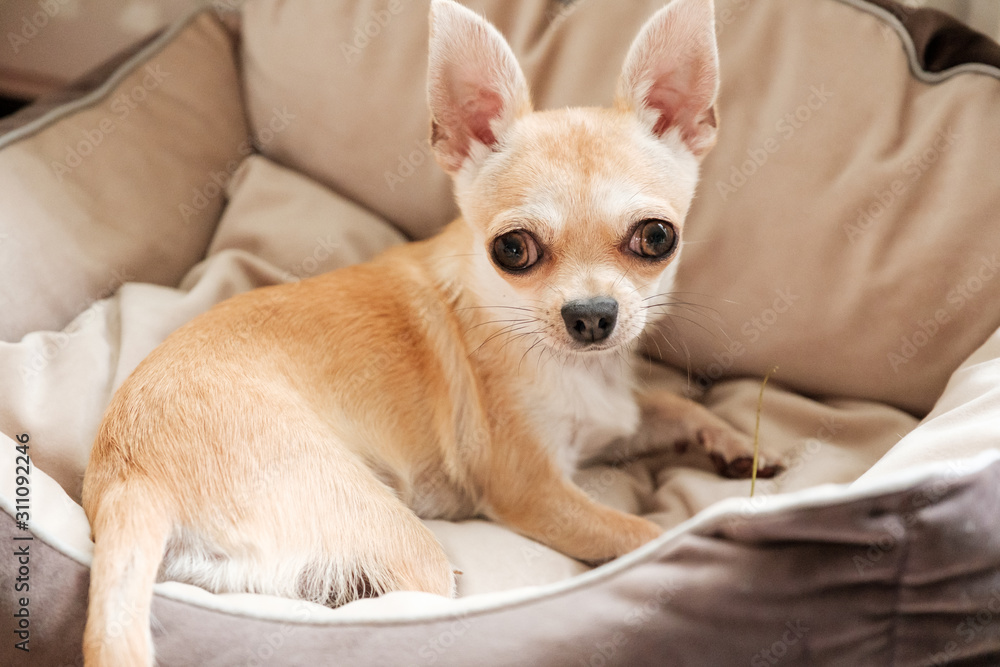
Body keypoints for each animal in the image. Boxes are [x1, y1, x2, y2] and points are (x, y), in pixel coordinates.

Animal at [82, 2, 776, 664]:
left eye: (657, 238)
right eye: (513, 249)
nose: (591, 315)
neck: (576, 370)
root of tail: (129, 476)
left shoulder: (606, 425)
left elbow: (667, 406)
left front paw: (734, 441)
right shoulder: (536, 492)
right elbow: (642, 535)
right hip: (401, 543)